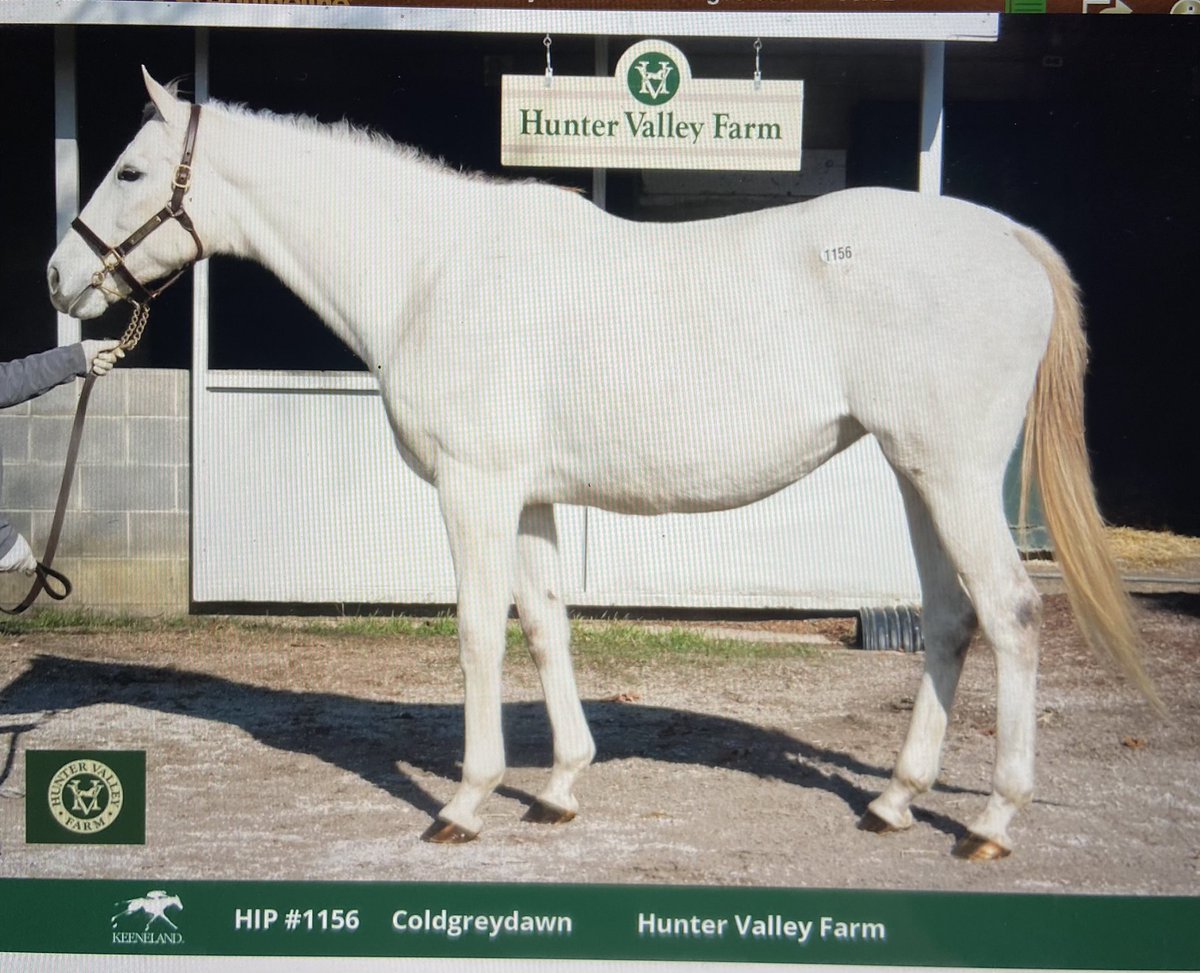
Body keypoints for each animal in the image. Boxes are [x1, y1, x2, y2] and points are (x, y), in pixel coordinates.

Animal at [47, 69, 1159, 861]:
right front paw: (560, 787)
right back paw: (891, 801)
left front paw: (465, 801)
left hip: (955, 476)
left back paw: (992, 822)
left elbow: (478, 634)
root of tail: (1006, 237)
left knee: (1011, 614)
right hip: (917, 474)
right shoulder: (529, 497)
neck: (431, 268)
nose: (61, 279)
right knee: (951, 618)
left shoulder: (476, 488)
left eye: (132, 172)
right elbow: (545, 625)